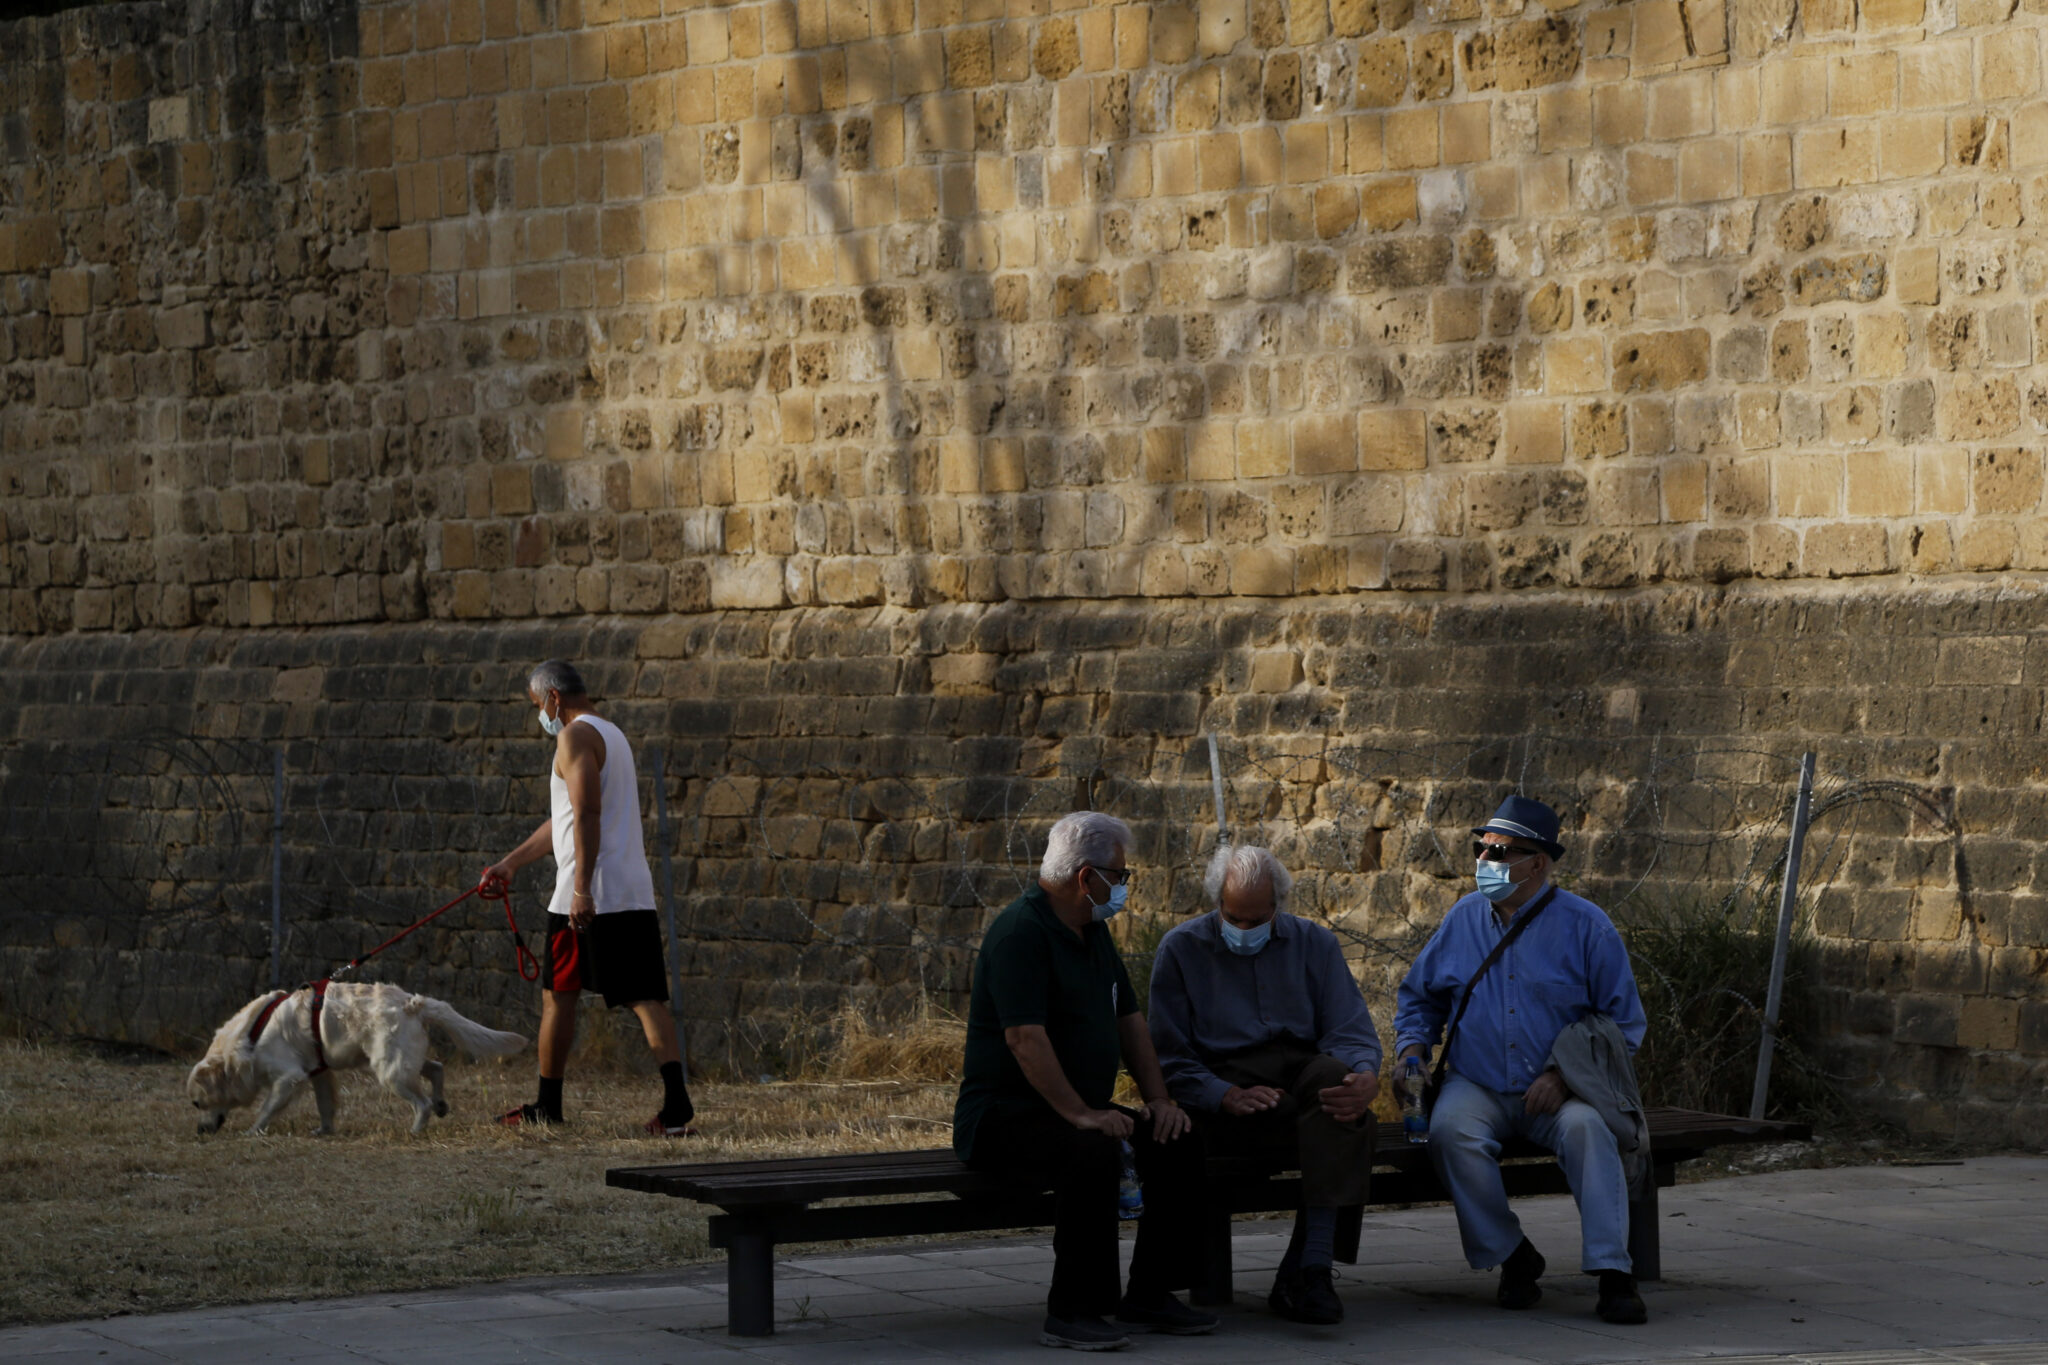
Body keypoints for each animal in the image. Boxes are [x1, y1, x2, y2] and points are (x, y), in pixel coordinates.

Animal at [190, 978, 528, 1137]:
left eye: (196, 1103)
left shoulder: (289, 1078)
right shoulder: (319, 1073)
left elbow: (266, 1108)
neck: (252, 1036)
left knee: (422, 1102)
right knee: (436, 1068)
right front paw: (325, 1131)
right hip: (401, 1061)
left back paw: (417, 1128)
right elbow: (325, 1105)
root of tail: (413, 1002)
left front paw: (253, 1131)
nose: (199, 1130)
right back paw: (441, 1103)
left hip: (389, 1070)